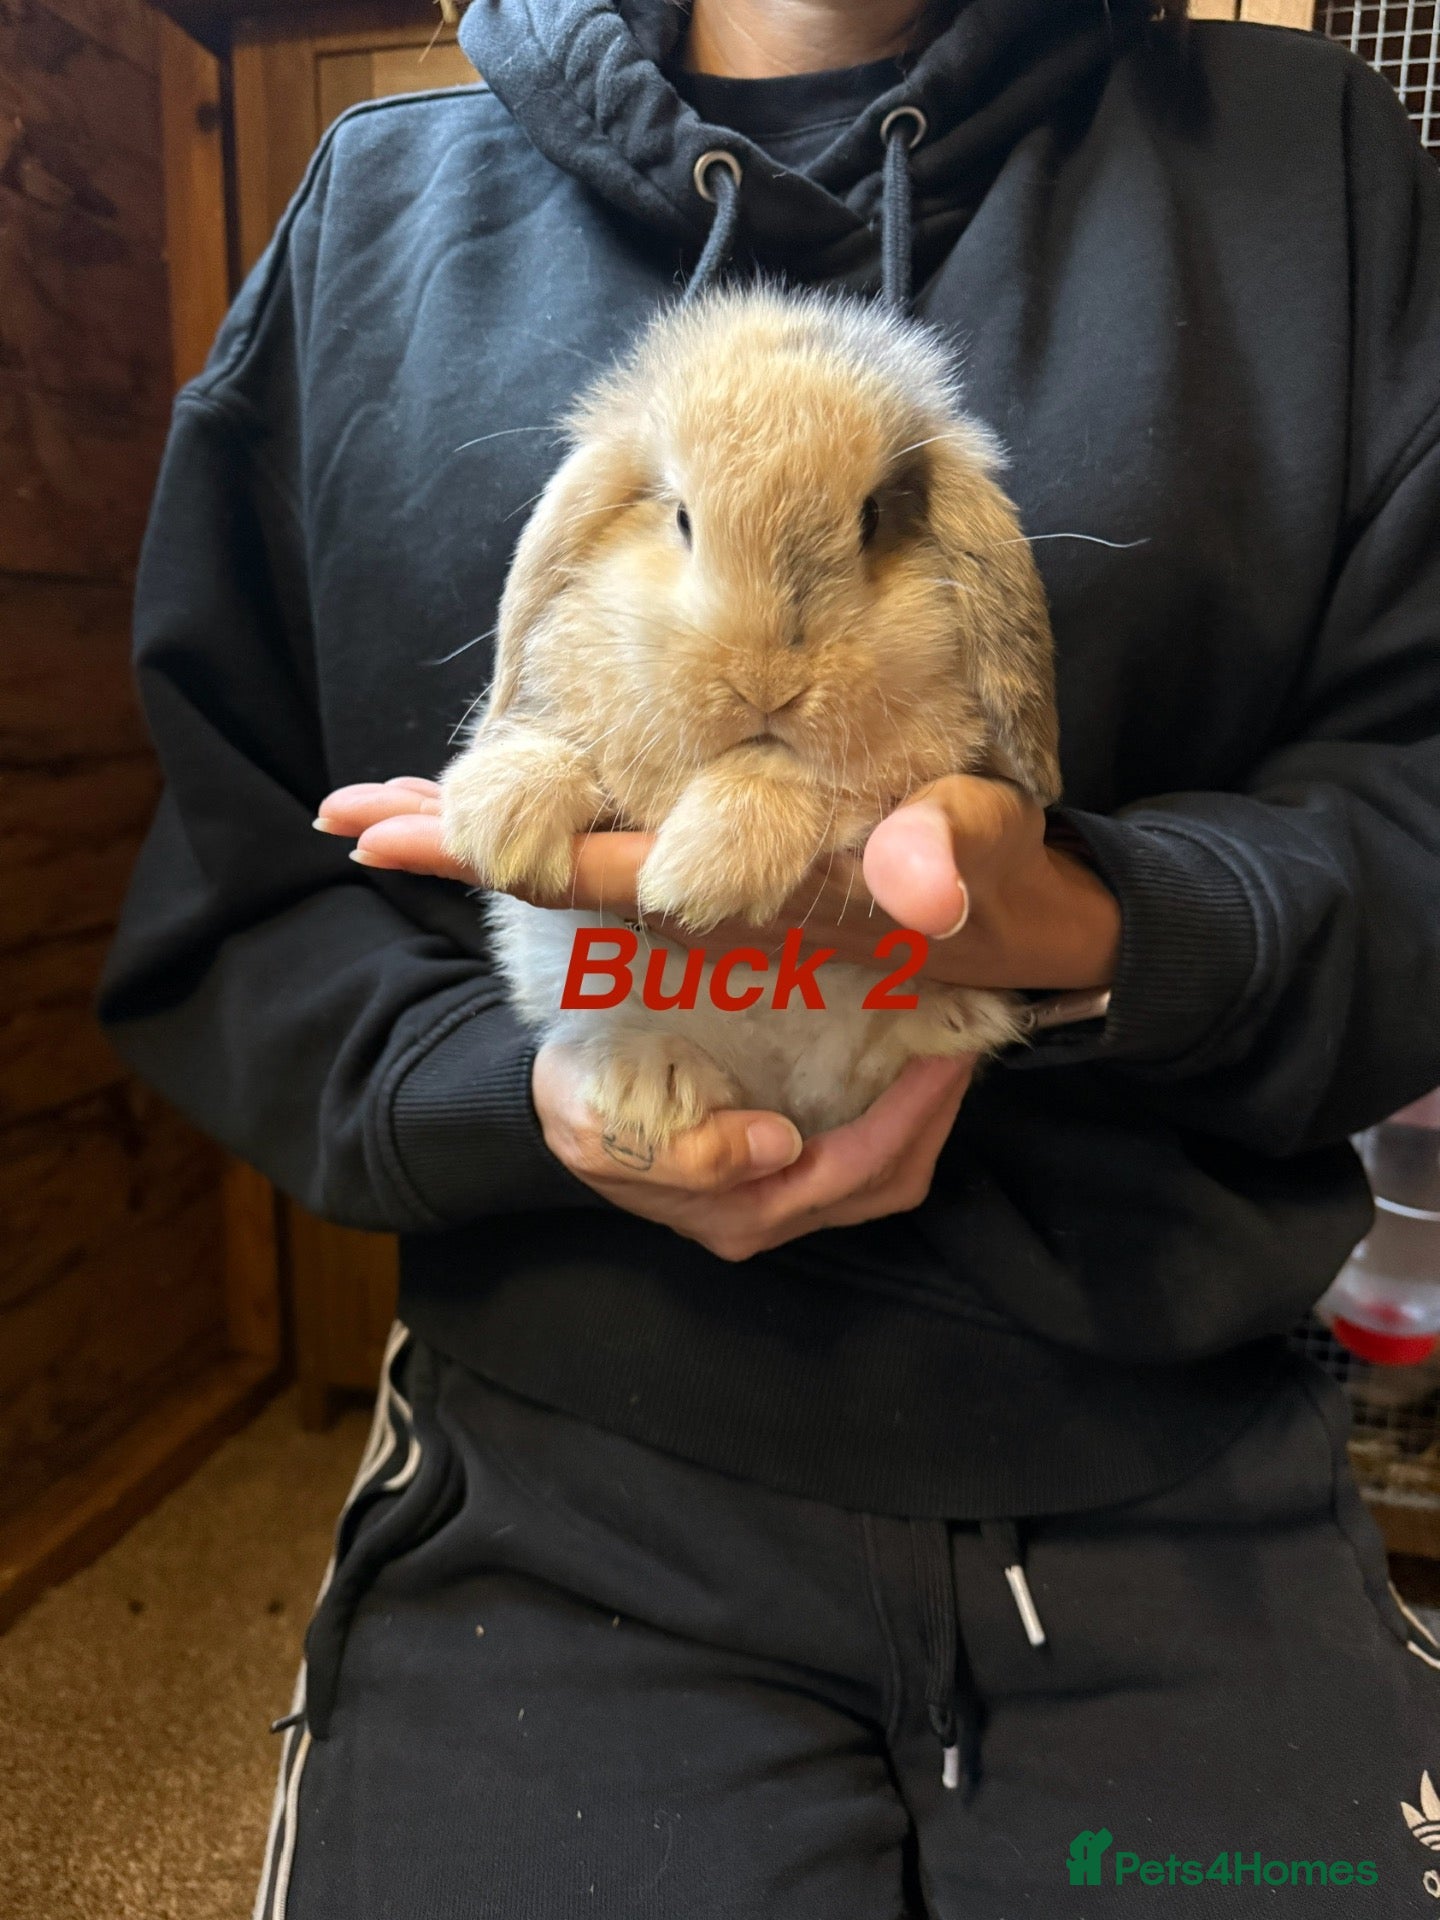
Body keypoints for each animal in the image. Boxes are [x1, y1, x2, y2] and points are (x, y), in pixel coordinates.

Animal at [440, 286, 1060, 1146]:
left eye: (872, 518)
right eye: (681, 519)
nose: (768, 683)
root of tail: (783, 1101)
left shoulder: (909, 766)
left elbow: (798, 777)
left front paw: (701, 867)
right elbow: (567, 744)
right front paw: (500, 822)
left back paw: (951, 1016)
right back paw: (651, 1086)